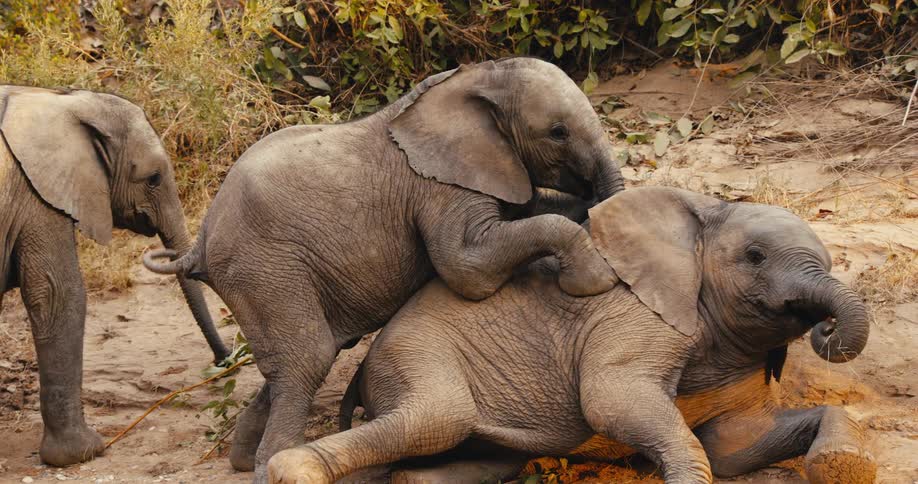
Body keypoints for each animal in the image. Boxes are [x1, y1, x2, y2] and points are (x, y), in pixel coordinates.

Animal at [0, 86, 229, 466]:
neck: (61, 101)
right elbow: (58, 294)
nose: (224, 361)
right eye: (153, 179)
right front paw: (85, 453)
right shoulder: (35, 197)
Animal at [142, 57, 625, 479]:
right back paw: (270, 464)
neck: (477, 78)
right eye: (558, 132)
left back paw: (242, 459)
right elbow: (467, 269)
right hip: (263, 266)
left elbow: (529, 214)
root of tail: (201, 241)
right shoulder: (440, 186)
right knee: (308, 356)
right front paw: (595, 278)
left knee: (295, 360)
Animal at [267, 186, 877, 484]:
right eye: (754, 257)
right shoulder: (632, 314)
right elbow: (613, 401)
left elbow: (736, 444)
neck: (702, 215)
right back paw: (291, 471)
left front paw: (843, 467)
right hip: (414, 355)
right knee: (438, 416)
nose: (823, 324)